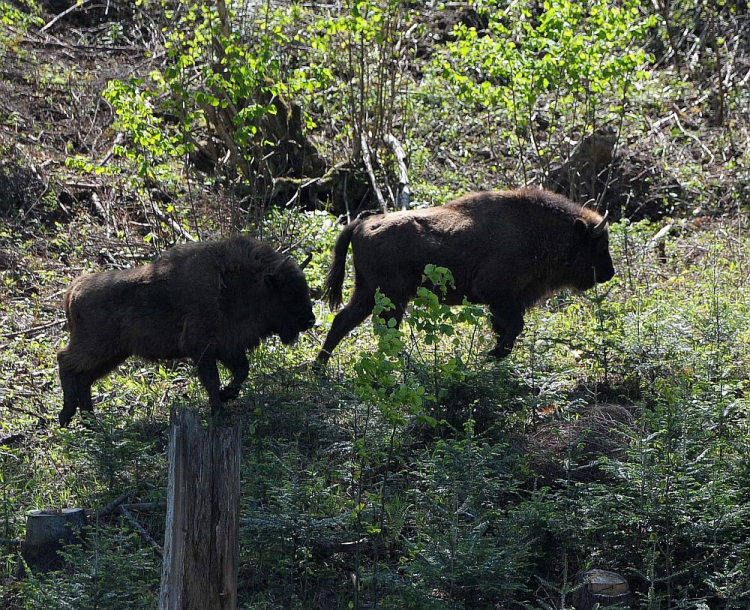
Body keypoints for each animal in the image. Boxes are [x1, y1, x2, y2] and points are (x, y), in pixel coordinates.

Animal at [58, 235, 314, 426]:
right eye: (289, 291)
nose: (310, 320)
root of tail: (73, 289)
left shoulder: (228, 346)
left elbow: (242, 371)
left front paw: (226, 397)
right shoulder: (202, 348)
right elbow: (212, 380)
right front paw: (219, 411)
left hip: (114, 354)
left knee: (84, 377)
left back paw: (90, 423)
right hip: (97, 347)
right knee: (65, 360)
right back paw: (67, 416)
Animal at [318, 188, 616, 364]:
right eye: (599, 245)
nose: (609, 273)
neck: (537, 231)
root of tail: (362, 223)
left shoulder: (507, 301)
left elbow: (505, 328)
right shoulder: (497, 293)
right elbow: (514, 326)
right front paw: (492, 355)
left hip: (369, 293)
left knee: (343, 321)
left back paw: (320, 367)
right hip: (391, 296)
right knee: (381, 329)